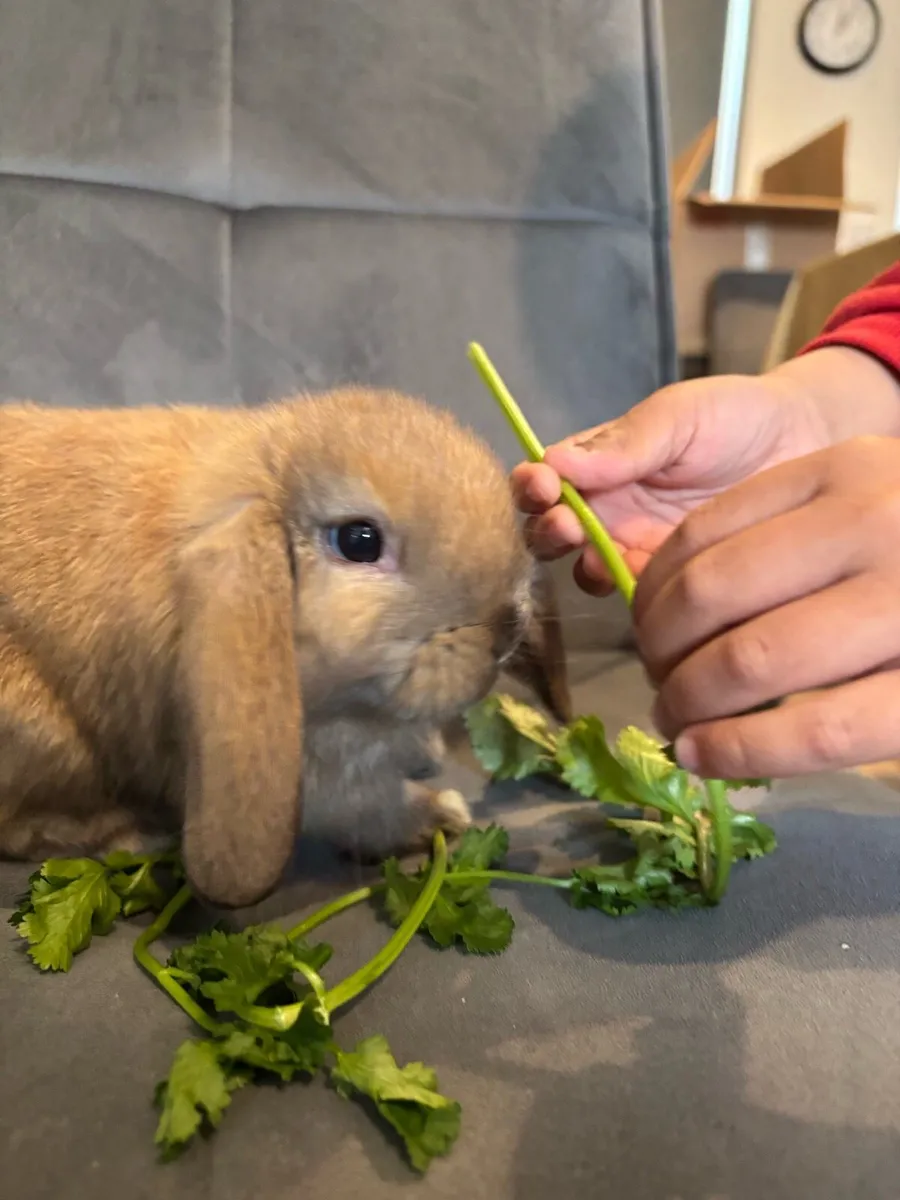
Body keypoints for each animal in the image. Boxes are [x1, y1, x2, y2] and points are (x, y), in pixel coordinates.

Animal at [0, 388, 571, 908]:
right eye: (359, 540)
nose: (507, 627)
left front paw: (426, 756)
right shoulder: (316, 777)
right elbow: (367, 807)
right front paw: (444, 812)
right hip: (50, 740)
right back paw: (135, 834)